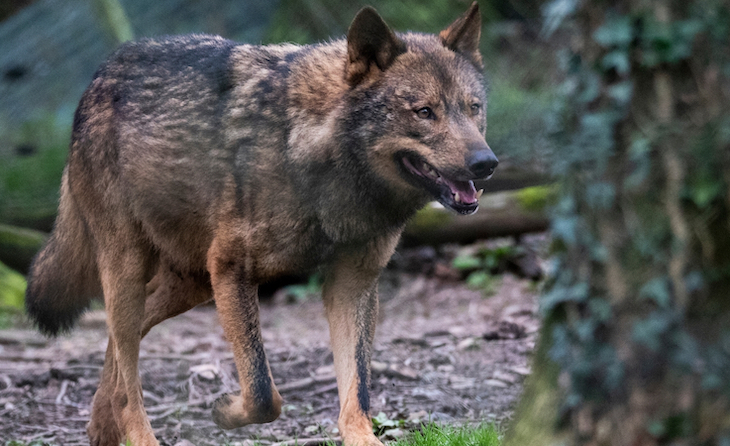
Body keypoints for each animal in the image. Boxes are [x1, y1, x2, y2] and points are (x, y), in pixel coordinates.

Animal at [25, 3, 497, 445]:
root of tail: (101, 73)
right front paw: (224, 410)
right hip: (132, 269)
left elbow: (356, 391)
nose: (486, 163)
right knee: (128, 374)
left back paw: (101, 425)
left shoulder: (353, 282)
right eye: (424, 112)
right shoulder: (233, 270)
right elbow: (263, 393)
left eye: (473, 109)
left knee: (120, 346)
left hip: (191, 283)